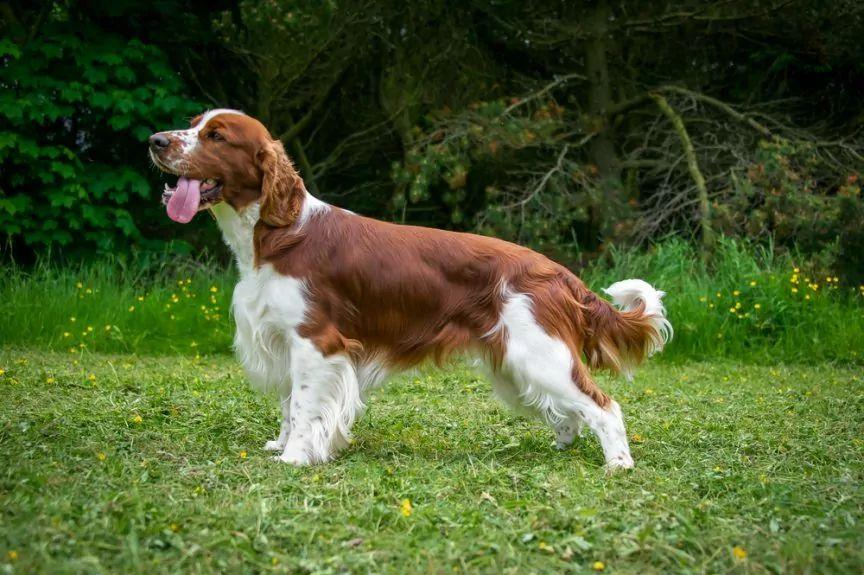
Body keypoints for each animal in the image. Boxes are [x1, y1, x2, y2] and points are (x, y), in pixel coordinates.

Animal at [148, 110, 672, 470]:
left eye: (216, 136)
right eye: (193, 125)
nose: (155, 140)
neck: (276, 235)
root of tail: (558, 272)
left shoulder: (316, 342)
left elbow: (303, 404)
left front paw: (294, 457)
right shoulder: (282, 339)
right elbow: (288, 405)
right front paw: (281, 443)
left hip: (538, 355)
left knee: (604, 406)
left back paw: (618, 464)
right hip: (514, 363)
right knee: (570, 411)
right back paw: (564, 442)